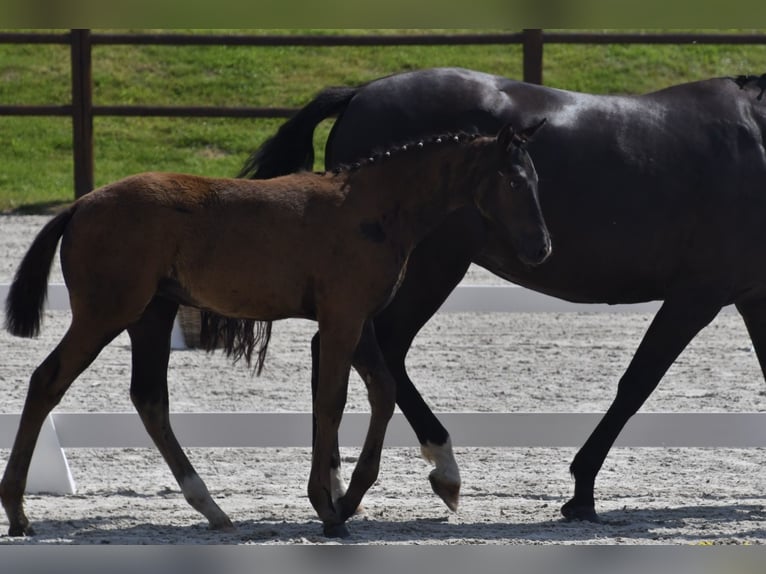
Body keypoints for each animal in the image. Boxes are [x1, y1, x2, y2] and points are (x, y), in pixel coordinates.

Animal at [1, 123, 550, 538]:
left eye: (536, 179)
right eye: (513, 180)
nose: (542, 248)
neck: (370, 208)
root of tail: (79, 205)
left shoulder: (359, 320)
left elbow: (383, 391)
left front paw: (347, 499)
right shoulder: (343, 316)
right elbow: (332, 400)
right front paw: (329, 508)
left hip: (150, 317)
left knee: (149, 399)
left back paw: (211, 508)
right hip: (105, 314)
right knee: (47, 381)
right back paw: (18, 512)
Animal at [239, 67, 766, 522]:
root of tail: (360, 94)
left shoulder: (750, 297)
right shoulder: (697, 295)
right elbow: (636, 384)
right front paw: (582, 492)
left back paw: (341, 487)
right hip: (430, 268)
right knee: (377, 354)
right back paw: (428, 473)